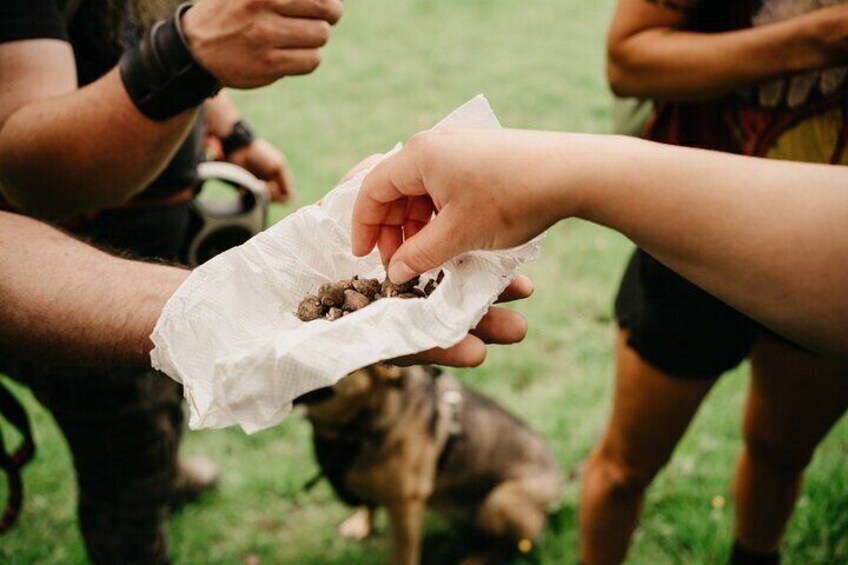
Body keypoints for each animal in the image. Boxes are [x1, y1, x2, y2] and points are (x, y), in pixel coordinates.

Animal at [294, 364, 564, 560]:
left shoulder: (405, 507)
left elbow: (402, 556)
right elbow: (369, 503)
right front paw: (363, 524)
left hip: (499, 501)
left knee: (514, 543)